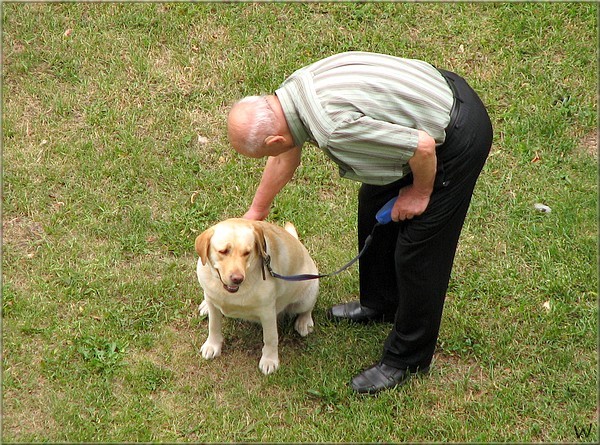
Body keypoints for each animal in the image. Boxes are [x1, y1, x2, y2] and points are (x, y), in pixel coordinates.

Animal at [196, 217, 318, 372]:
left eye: (247, 252)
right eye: (223, 251)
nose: (237, 279)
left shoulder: (267, 312)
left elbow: (271, 338)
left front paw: (269, 360)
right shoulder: (213, 302)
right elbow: (213, 325)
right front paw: (212, 345)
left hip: (308, 292)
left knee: (307, 309)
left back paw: (304, 322)